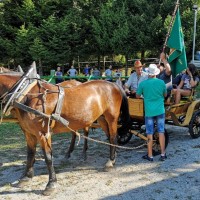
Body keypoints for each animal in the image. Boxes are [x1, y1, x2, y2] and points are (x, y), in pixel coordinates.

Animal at [0, 64, 130, 195]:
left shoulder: (43, 133)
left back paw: (110, 161)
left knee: (113, 137)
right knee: (109, 137)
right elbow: (30, 154)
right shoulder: (28, 133)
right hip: (101, 118)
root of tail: (115, 85)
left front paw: (51, 183)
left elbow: (48, 157)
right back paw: (111, 158)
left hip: (112, 118)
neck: (25, 94)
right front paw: (26, 177)